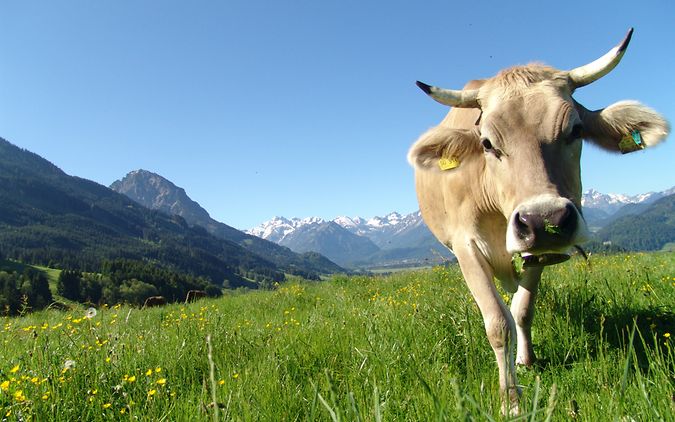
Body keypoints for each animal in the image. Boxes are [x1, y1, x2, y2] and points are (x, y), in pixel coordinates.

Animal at [410, 29, 668, 416]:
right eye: (487, 143)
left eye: (575, 130)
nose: (544, 219)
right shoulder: (465, 246)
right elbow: (497, 322)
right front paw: (510, 401)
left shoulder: (539, 251)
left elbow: (522, 309)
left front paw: (526, 361)